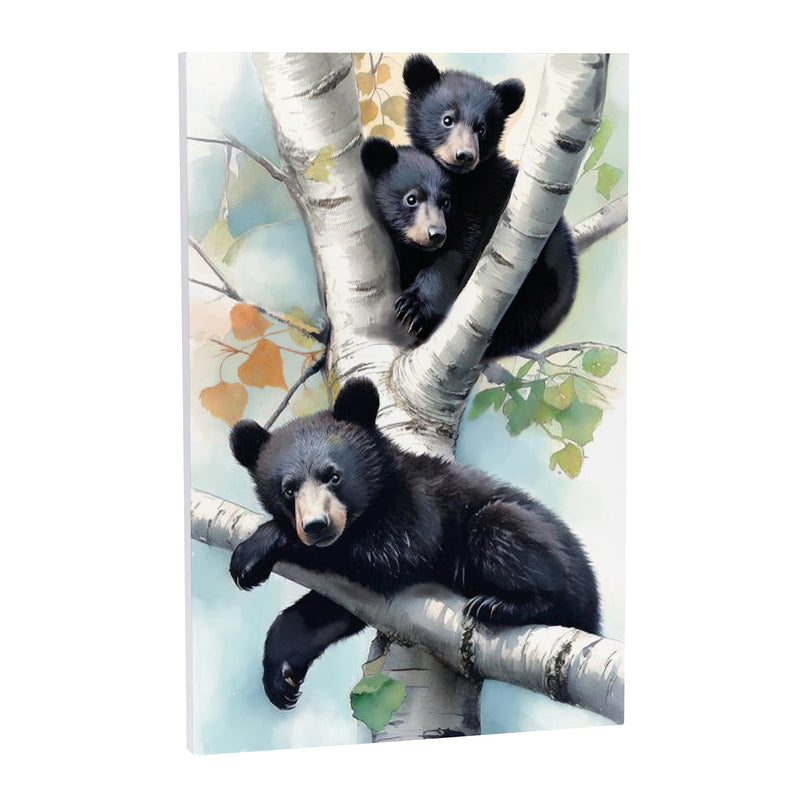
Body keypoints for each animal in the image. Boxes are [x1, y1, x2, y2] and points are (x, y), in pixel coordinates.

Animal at [229, 377, 600, 709]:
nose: (317, 526)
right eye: (288, 489)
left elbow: (397, 552)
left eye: (333, 476)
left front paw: (255, 550)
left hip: (531, 544)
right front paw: (281, 674)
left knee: (507, 536)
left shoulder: (421, 504)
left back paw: (500, 604)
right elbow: (327, 610)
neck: (378, 497)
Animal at [399, 53, 580, 358]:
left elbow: (460, 248)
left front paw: (415, 305)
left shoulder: (487, 200)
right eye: (448, 119)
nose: (464, 155)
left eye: (481, 128)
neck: (462, 182)